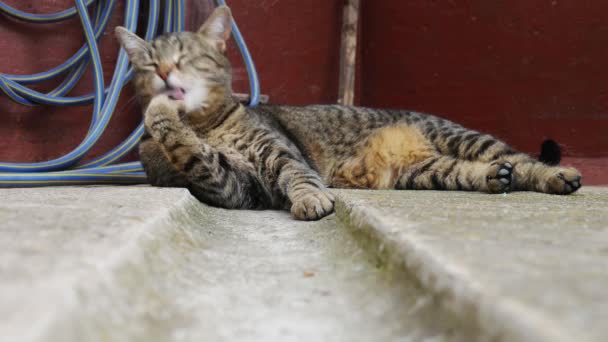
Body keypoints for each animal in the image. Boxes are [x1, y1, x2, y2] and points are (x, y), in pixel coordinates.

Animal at [115, 6, 584, 222]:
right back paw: (493, 177)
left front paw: (311, 199)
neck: (205, 124)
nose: (164, 73)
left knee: (522, 159)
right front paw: (160, 113)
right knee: (484, 170)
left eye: (185, 56)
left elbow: (297, 174)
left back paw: (557, 177)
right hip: (429, 171)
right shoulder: (232, 184)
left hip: (463, 138)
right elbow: (189, 149)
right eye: (147, 63)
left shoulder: (278, 152)